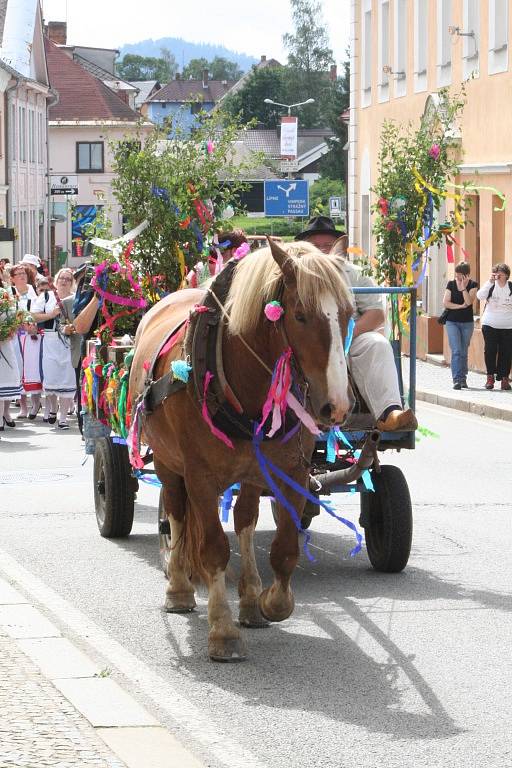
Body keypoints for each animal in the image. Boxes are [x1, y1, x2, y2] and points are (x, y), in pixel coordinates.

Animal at [128, 240, 356, 660]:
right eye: (300, 315)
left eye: (348, 314)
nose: (337, 406)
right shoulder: (200, 478)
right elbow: (214, 548)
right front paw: (222, 629)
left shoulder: (291, 471)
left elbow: (285, 547)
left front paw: (269, 601)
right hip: (168, 462)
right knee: (177, 513)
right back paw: (179, 587)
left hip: (251, 472)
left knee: (245, 521)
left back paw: (249, 599)